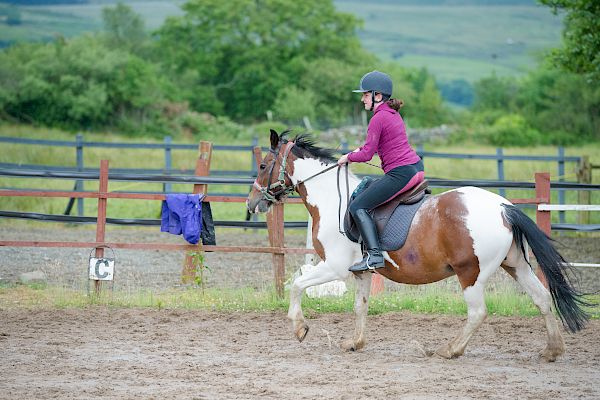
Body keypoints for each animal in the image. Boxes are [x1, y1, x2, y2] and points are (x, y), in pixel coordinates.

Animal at [246, 130, 588, 360]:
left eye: (263, 166)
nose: (251, 204)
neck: (333, 198)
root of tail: (504, 207)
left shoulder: (334, 267)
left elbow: (297, 285)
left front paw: (299, 328)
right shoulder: (360, 272)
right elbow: (360, 306)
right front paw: (354, 343)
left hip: (471, 272)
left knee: (478, 312)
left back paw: (450, 349)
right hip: (515, 265)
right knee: (542, 298)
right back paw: (552, 350)